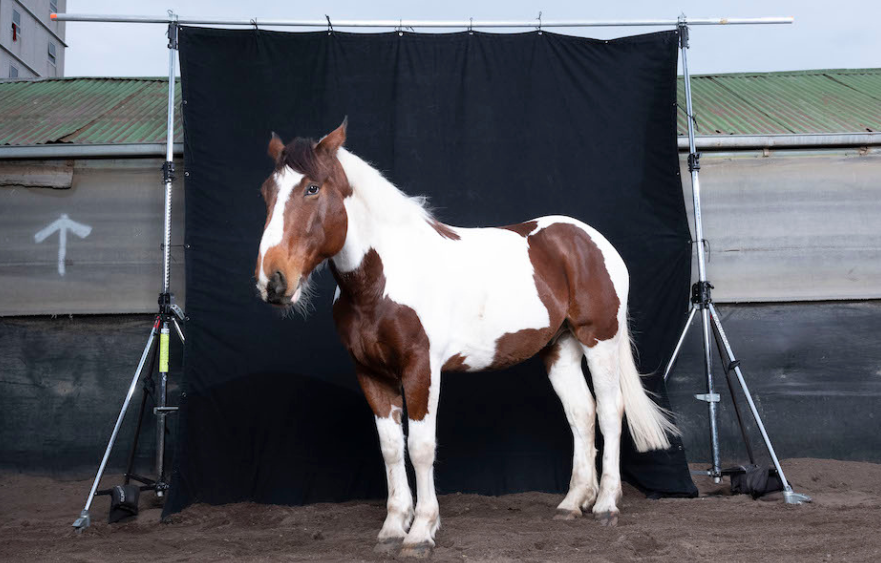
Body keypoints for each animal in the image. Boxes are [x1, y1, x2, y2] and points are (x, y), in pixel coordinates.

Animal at [254, 120, 678, 557]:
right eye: (267, 192)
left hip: (600, 341)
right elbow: (391, 448)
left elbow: (420, 447)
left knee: (610, 411)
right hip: (560, 349)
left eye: (312, 188)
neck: (385, 279)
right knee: (582, 413)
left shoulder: (421, 369)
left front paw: (421, 532)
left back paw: (607, 504)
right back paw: (573, 503)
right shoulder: (370, 373)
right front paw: (393, 528)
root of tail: (590, 239)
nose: (273, 281)